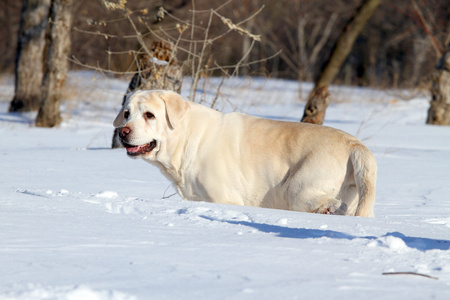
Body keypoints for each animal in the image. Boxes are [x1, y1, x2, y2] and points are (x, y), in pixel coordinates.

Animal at [112, 90, 376, 217]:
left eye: (150, 115)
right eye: (126, 113)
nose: (122, 131)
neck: (187, 139)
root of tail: (355, 145)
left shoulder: (225, 198)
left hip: (296, 187)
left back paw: (328, 208)